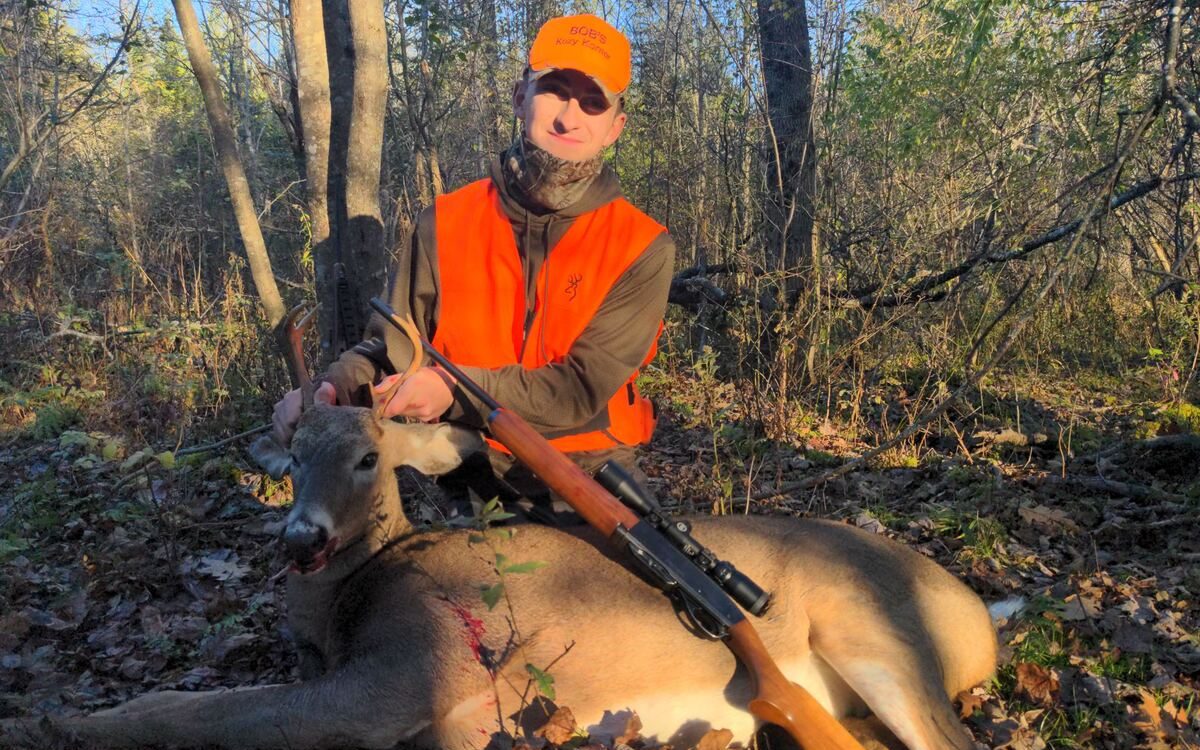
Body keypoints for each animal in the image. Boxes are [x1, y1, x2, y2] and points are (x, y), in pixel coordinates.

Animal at [3, 307, 998, 750]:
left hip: (878, 642)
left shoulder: (407, 676)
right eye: (290, 458)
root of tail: (983, 619)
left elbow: (205, 712)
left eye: (368, 458)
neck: (347, 605)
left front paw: (56, 721)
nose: (301, 540)